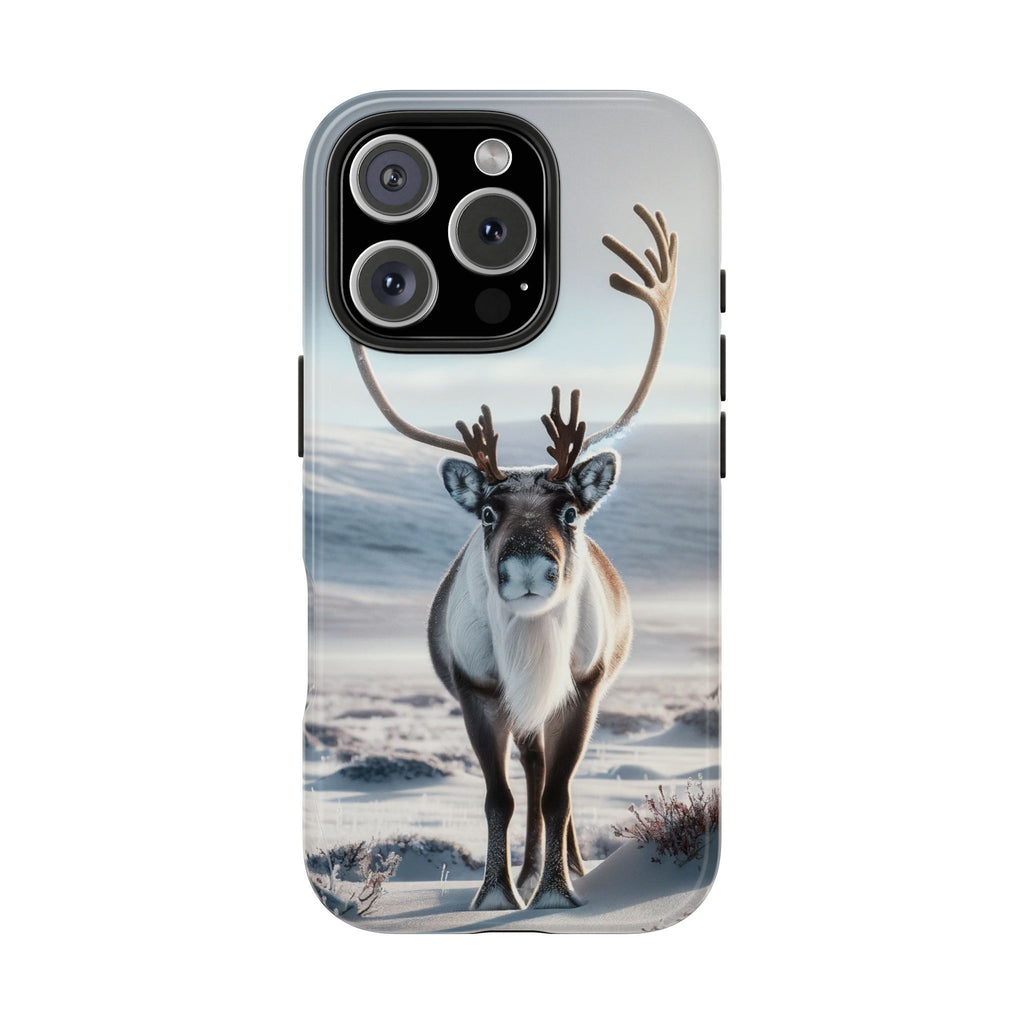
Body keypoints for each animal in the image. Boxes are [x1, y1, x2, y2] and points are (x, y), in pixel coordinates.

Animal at [349, 204, 678, 910]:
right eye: (486, 513)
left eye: (570, 511)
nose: (528, 567)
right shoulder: (478, 692)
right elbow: (499, 796)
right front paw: (498, 893)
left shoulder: (582, 688)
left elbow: (558, 793)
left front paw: (559, 892)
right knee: (529, 770)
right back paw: (525, 874)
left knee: (551, 780)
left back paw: (567, 868)